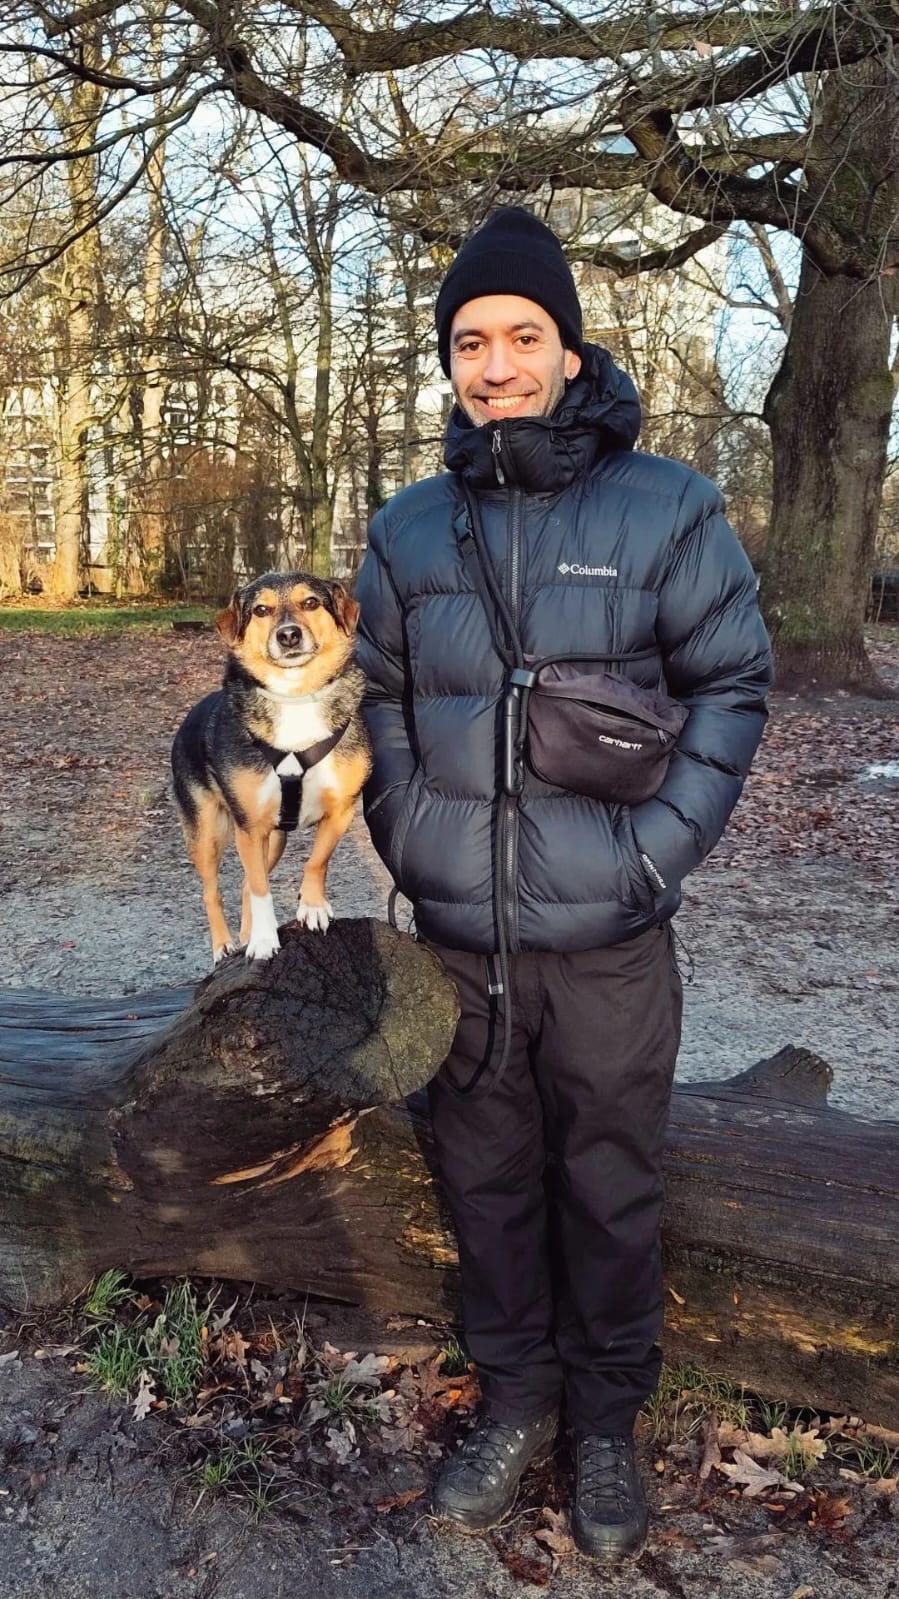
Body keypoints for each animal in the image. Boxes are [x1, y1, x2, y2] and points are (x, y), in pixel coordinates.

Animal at [171, 572, 371, 959]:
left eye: (311, 602)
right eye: (261, 610)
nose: (289, 635)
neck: (295, 697)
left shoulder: (341, 810)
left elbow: (316, 860)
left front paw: (312, 906)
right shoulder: (250, 827)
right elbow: (262, 890)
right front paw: (263, 940)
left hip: (275, 838)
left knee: (245, 884)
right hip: (206, 833)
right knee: (213, 891)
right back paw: (223, 945)